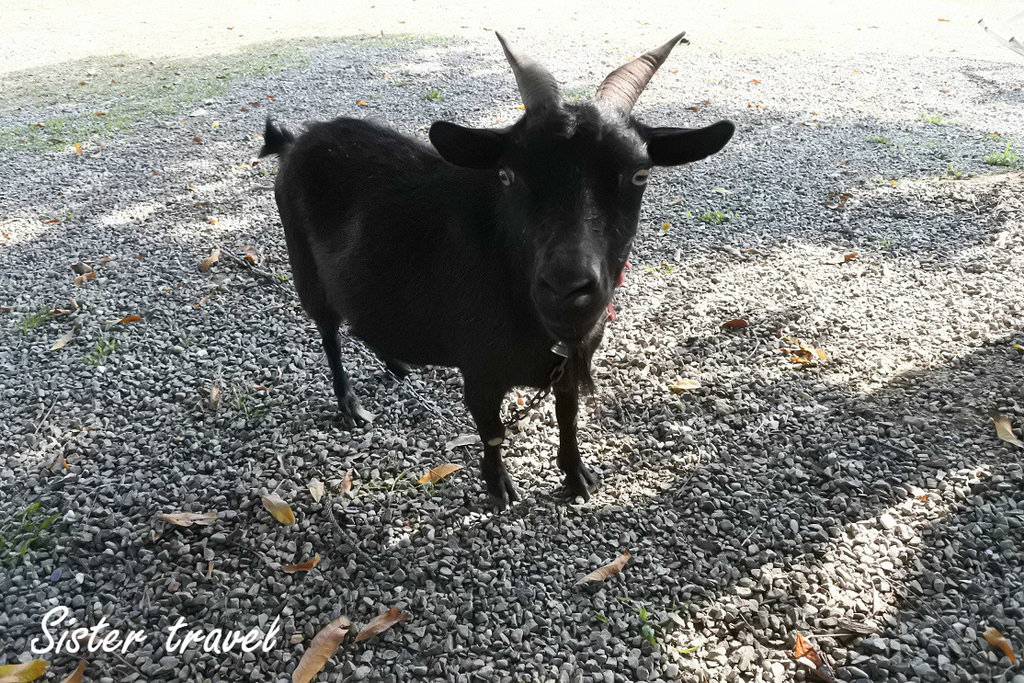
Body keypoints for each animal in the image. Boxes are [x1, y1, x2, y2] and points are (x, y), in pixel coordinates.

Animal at [260, 34, 733, 509]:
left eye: (639, 175)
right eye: (507, 175)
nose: (566, 287)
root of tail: (295, 141)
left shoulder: (568, 368)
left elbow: (568, 417)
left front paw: (577, 476)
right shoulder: (480, 371)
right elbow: (491, 431)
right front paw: (498, 487)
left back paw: (397, 363)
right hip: (305, 268)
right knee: (328, 333)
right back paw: (350, 405)